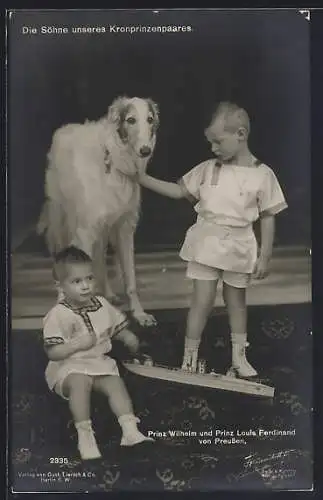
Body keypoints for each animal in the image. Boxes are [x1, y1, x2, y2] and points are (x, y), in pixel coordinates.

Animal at [38, 95, 159, 326]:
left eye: (149, 119)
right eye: (130, 120)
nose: (145, 151)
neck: (113, 159)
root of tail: (65, 128)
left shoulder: (124, 227)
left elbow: (130, 279)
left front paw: (140, 314)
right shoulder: (85, 231)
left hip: (103, 228)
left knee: (100, 258)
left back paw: (108, 293)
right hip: (63, 220)